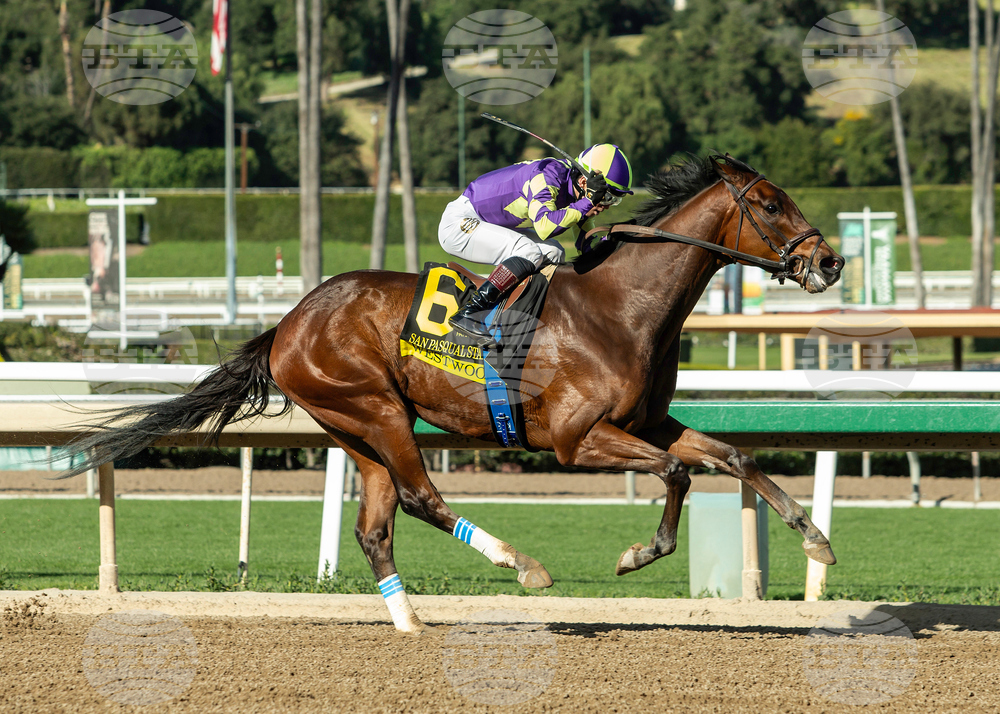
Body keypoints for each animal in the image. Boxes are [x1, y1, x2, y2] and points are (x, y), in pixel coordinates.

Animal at [63, 155, 845, 634]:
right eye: (769, 203)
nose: (831, 261)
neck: (620, 305)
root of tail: (285, 325)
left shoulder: (647, 422)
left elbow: (734, 457)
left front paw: (814, 537)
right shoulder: (575, 438)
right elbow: (680, 472)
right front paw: (635, 554)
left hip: (357, 427)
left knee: (376, 528)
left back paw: (410, 620)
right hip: (377, 409)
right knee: (420, 499)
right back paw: (521, 566)